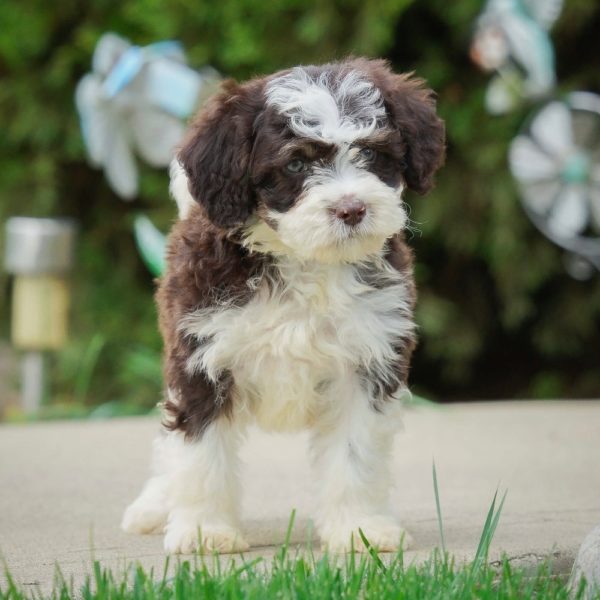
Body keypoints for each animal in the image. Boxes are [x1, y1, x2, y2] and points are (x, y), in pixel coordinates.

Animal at [120, 58, 446, 556]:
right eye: (295, 163)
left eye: (372, 154)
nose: (352, 209)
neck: (302, 260)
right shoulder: (201, 358)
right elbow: (201, 454)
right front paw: (204, 532)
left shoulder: (368, 361)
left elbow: (355, 454)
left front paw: (360, 529)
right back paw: (154, 506)